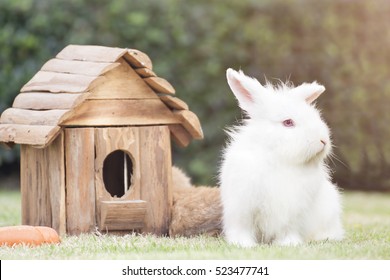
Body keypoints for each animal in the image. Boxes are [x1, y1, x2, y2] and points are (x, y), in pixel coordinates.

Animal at [219, 69, 344, 246]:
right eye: (288, 122)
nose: (323, 140)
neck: (279, 158)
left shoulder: (293, 211)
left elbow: (287, 230)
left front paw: (290, 244)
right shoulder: (243, 207)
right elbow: (243, 229)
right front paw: (244, 244)